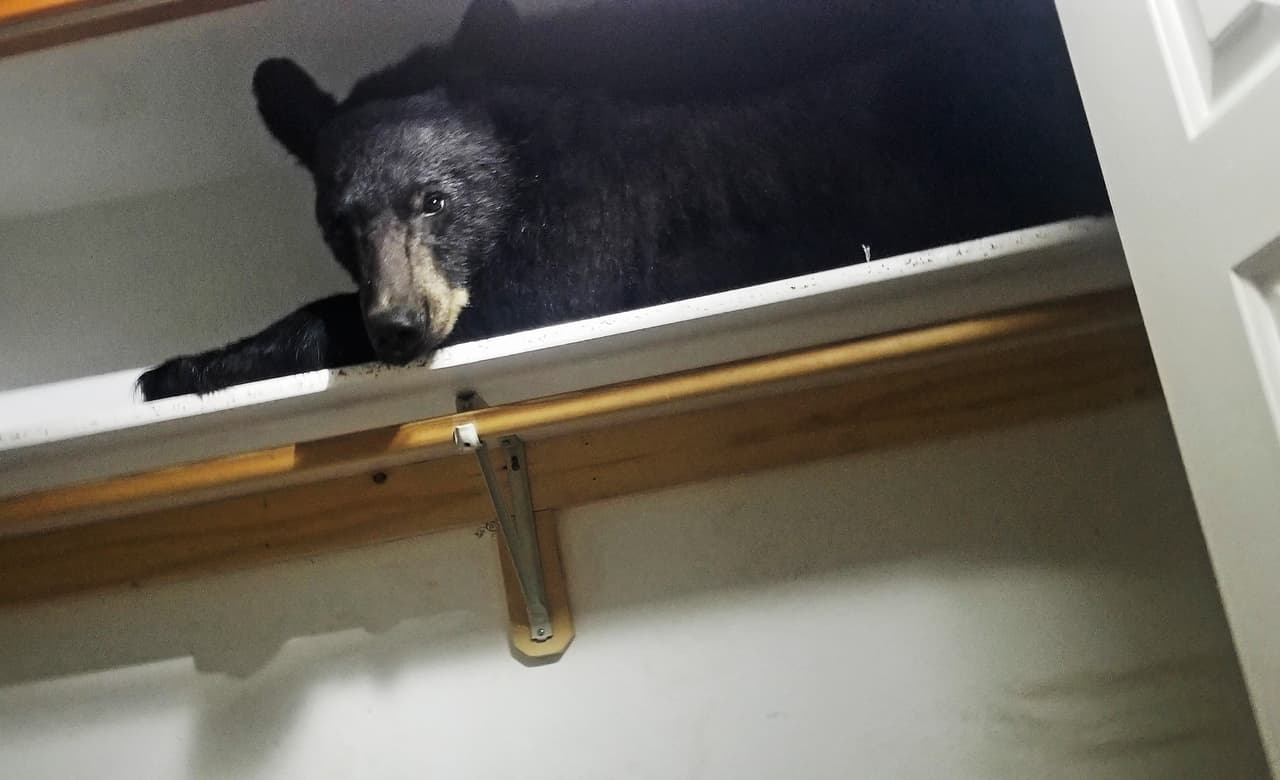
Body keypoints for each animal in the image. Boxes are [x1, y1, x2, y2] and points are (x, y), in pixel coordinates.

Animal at [138, 0, 1110, 401]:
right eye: (338, 224)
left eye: (435, 201)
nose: (400, 330)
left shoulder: (597, 215)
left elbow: (539, 293)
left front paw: (190, 363)